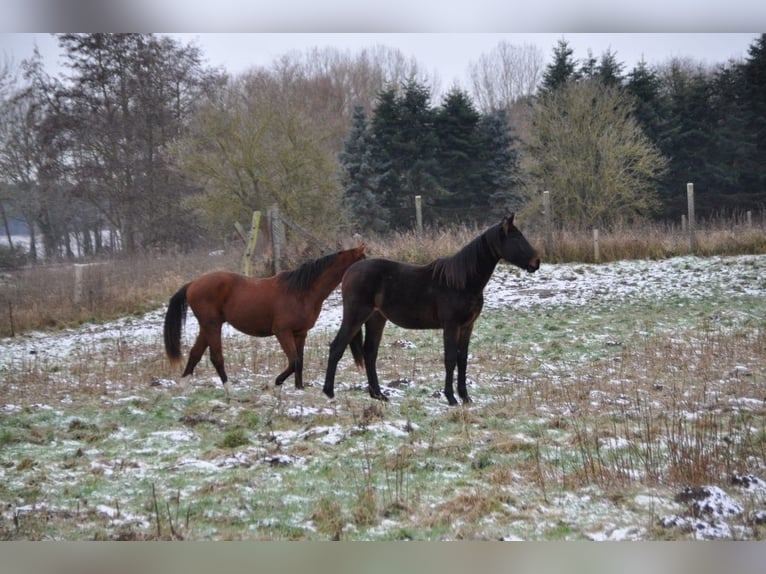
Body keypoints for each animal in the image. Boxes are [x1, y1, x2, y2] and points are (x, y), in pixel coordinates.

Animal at [164, 245, 366, 398]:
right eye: (363, 259)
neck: (302, 292)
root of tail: (192, 284)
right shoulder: (282, 332)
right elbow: (294, 362)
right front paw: (272, 385)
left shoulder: (301, 333)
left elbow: (299, 361)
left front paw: (299, 389)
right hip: (212, 325)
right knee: (216, 358)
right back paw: (230, 391)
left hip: (208, 326)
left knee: (195, 353)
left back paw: (184, 387)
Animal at [322, 214, 540, 408]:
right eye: (516, 238)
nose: (536, 262)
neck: (461, 282)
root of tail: (351, 270)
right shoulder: (451, 325)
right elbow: (450, 358)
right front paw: (451, 398)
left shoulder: (467, 326)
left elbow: (463, 359)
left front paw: (466, 398)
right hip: (355, 315)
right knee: (337, 347)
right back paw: (329, 393)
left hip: (376, 318)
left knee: (370, 353)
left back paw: (378, 395)